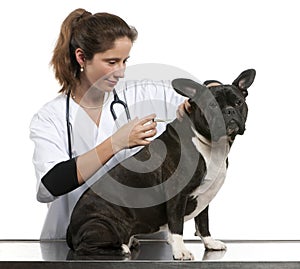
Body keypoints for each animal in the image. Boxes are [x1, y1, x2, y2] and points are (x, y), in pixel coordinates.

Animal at [67, 68, 256, 258]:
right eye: (211, 105)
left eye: (239, 102)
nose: (229, 111)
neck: (211, 144)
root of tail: (70, 230)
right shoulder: (177, 194)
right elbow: (177, 225)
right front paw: (180, 251)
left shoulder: (204, 197)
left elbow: (203, 222)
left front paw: (210, 243)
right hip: (99, 223)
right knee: (85, 247)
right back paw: (122, 247)